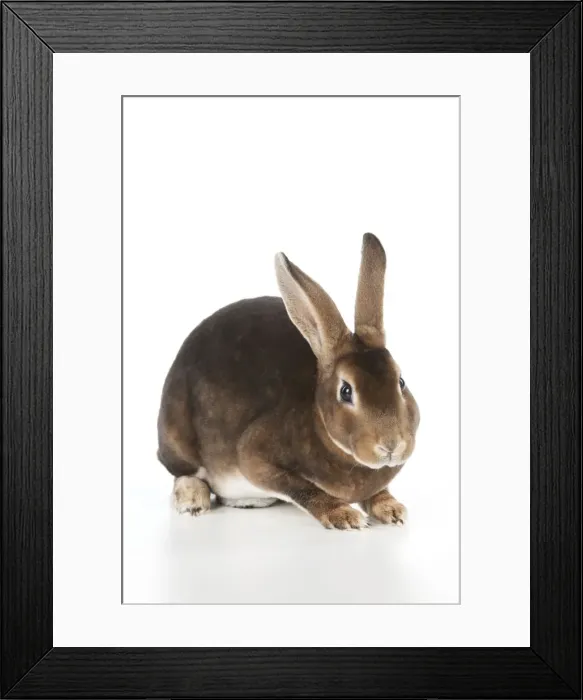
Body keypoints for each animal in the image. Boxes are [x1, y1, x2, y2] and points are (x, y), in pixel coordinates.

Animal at [157, 233, 420, 530]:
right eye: (346, 391)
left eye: (401, 381)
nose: (392, 445)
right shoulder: (255, 458)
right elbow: (303, 489)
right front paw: (344, 515)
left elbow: (377, 493)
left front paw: (392, 509)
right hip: (176, 435)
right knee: (184, 472)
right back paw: (193, 500)